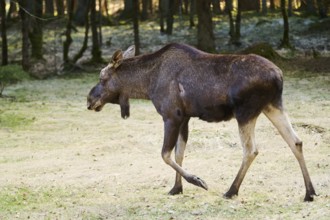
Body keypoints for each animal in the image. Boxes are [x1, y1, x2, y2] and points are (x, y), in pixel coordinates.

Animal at [87, 42, 318, 201]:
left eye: (102, 78)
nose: (89, 100)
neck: (146, 86)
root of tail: (279, 76)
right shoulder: (185, 118)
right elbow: (179, 154)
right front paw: (176, 188)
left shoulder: (171, 115)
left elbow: (165, 154)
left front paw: (197, 181)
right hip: (273, 105)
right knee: (296, 141)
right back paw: (309, 192)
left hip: (246, 112)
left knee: (251, 150)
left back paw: (231, 190)